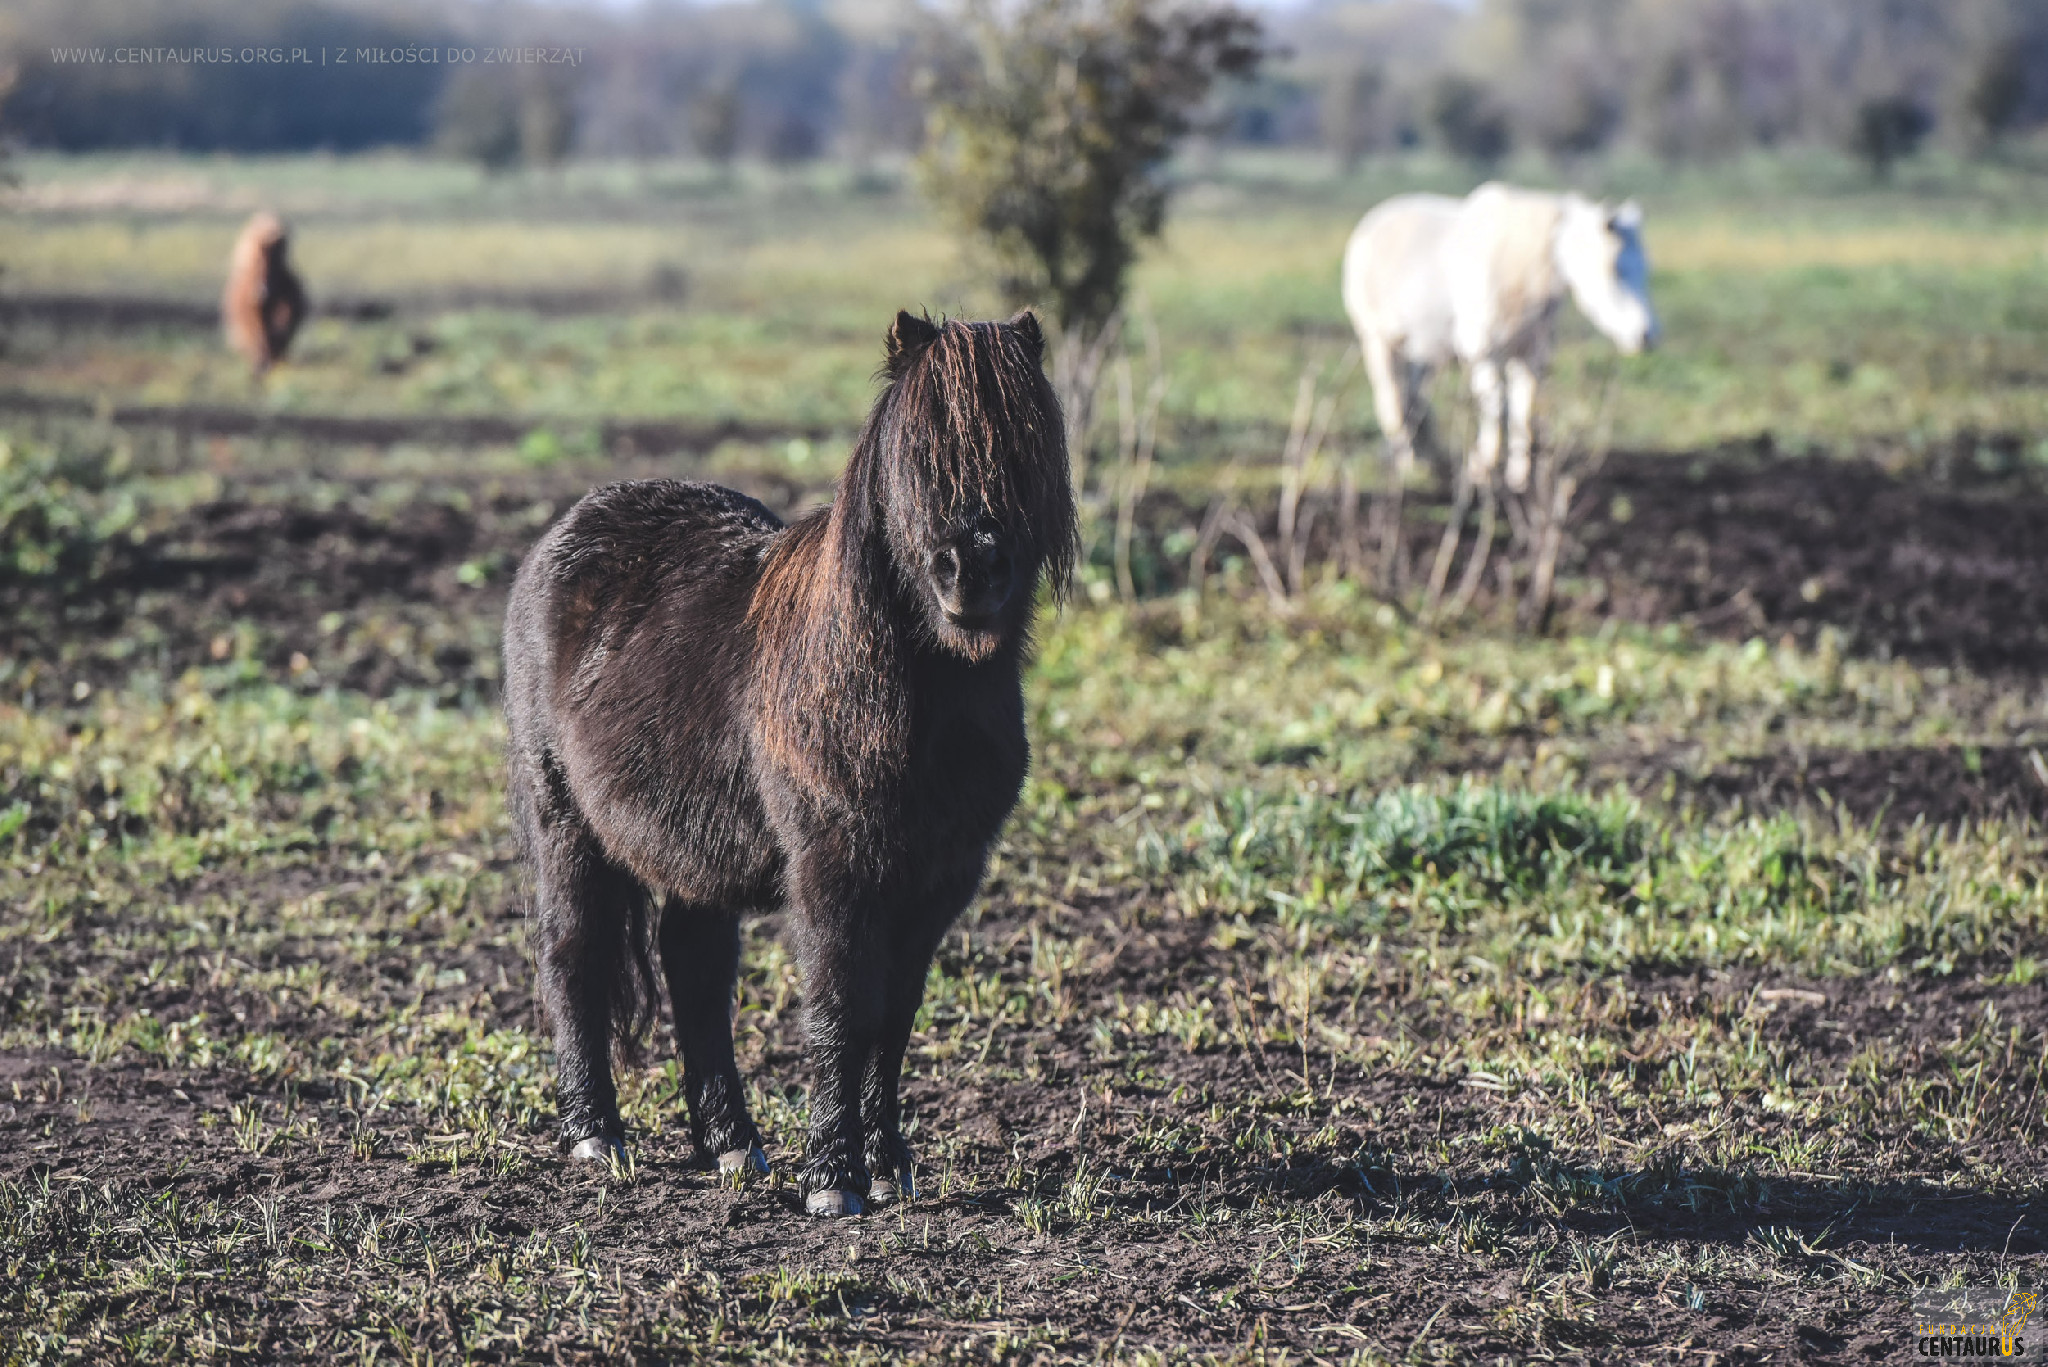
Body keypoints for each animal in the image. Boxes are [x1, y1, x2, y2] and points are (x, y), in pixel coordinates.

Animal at [503, 309, 1081, 1221]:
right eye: (916, 447)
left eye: (1023, 444)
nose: (971, 569)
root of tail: (564, 533)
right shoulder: (835, 873)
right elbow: (843, 1010)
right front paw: (834, 1179)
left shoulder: (938, 880)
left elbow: (895, 1018)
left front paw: (888, 1163)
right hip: (563, 822)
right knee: (573, 954)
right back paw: (597, 1135)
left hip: (694, 851)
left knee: (694, 970)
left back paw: (732, 1143)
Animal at [1343, 180, 1662, 602]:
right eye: (1615, 269)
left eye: (1645, 269)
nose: (1647, 336)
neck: (1522, 268)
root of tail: (1372, 222)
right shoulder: (1482, 350)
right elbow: (1493, 407)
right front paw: (1484, 468)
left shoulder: (1531, 356)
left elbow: (1523, 413)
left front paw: (1518, 476)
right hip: (1379, 341)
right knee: (1392, 402)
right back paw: (1407, 463)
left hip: (1425, 352)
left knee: (1415, 401)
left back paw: (1427, 459)